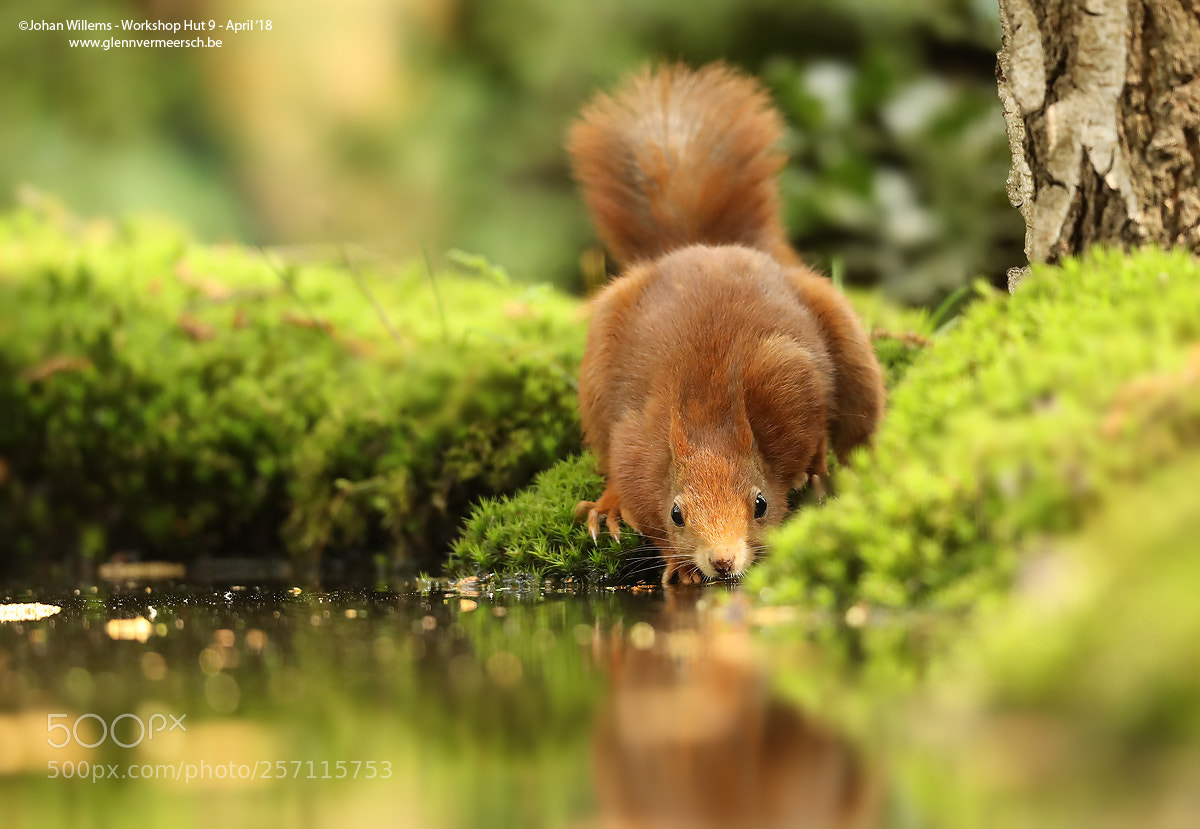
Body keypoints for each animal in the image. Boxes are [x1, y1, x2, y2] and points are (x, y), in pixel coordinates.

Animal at [568, 63, 885, 586]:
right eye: (677, 514)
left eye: (760, 504)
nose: (722, 561)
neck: (707, 415)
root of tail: (708, 245)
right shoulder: (635, 444)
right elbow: (631, 484)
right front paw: (674, 562)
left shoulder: (789, 376)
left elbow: (815, 415)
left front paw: (814, 468)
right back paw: (608, 506)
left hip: (846, 343)